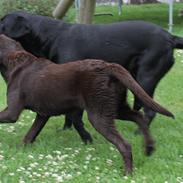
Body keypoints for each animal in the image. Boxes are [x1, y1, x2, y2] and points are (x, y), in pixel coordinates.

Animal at [0, 10, 182, 141]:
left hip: (146, 78)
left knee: (150, 111)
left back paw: (138, 133)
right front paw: (65, 130)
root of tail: (170, 37)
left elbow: (74, 115)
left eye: (2, 23)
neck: (52, 36)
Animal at [0, 34, 174, 176]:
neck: (12, 59)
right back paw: (149, 148)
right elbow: (29, 135)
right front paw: (19, 151)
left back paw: (128, 174)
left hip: (99, 114)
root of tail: (109, 67)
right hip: (115, 107)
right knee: (139, 117)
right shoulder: (43, 115)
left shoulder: (12, 112)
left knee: (125, 144)